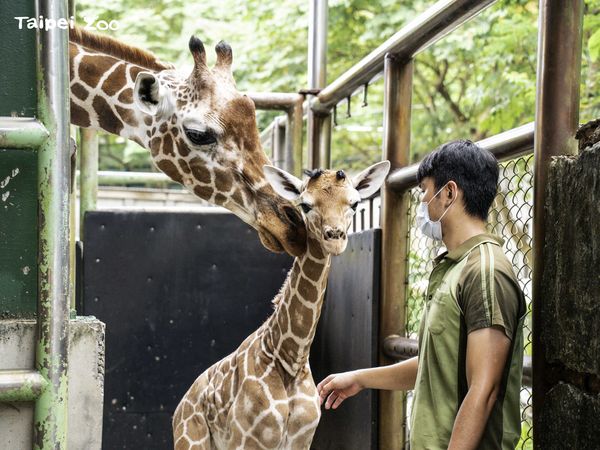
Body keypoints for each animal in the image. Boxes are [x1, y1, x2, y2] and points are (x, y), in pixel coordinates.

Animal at [171, 160, 392, 448]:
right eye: (305, 205)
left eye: (354, 203)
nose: (335, 237)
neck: (291, 359)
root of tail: (180, 407)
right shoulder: (247, 439)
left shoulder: (301, 439)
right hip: (190, 440)